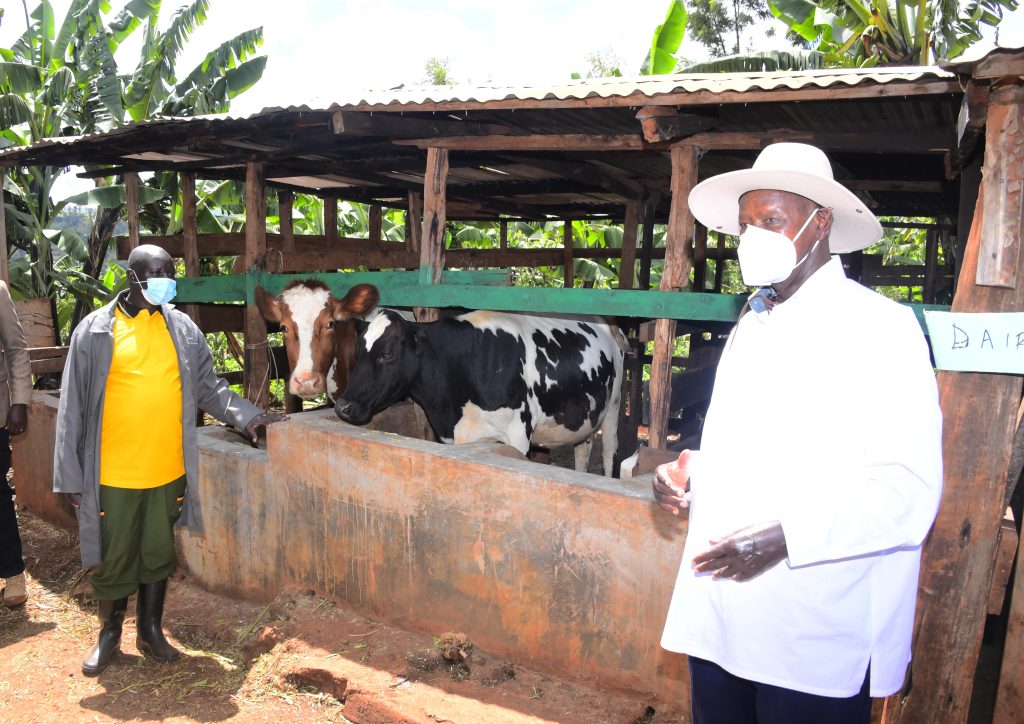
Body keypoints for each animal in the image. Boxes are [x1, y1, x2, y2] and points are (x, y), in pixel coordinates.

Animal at [335, 303, 622, 479]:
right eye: (359, 352)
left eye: (387, 353)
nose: (342, 406)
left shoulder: (517, 433)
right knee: (583, 449)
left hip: (614, 405)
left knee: (609, 451)